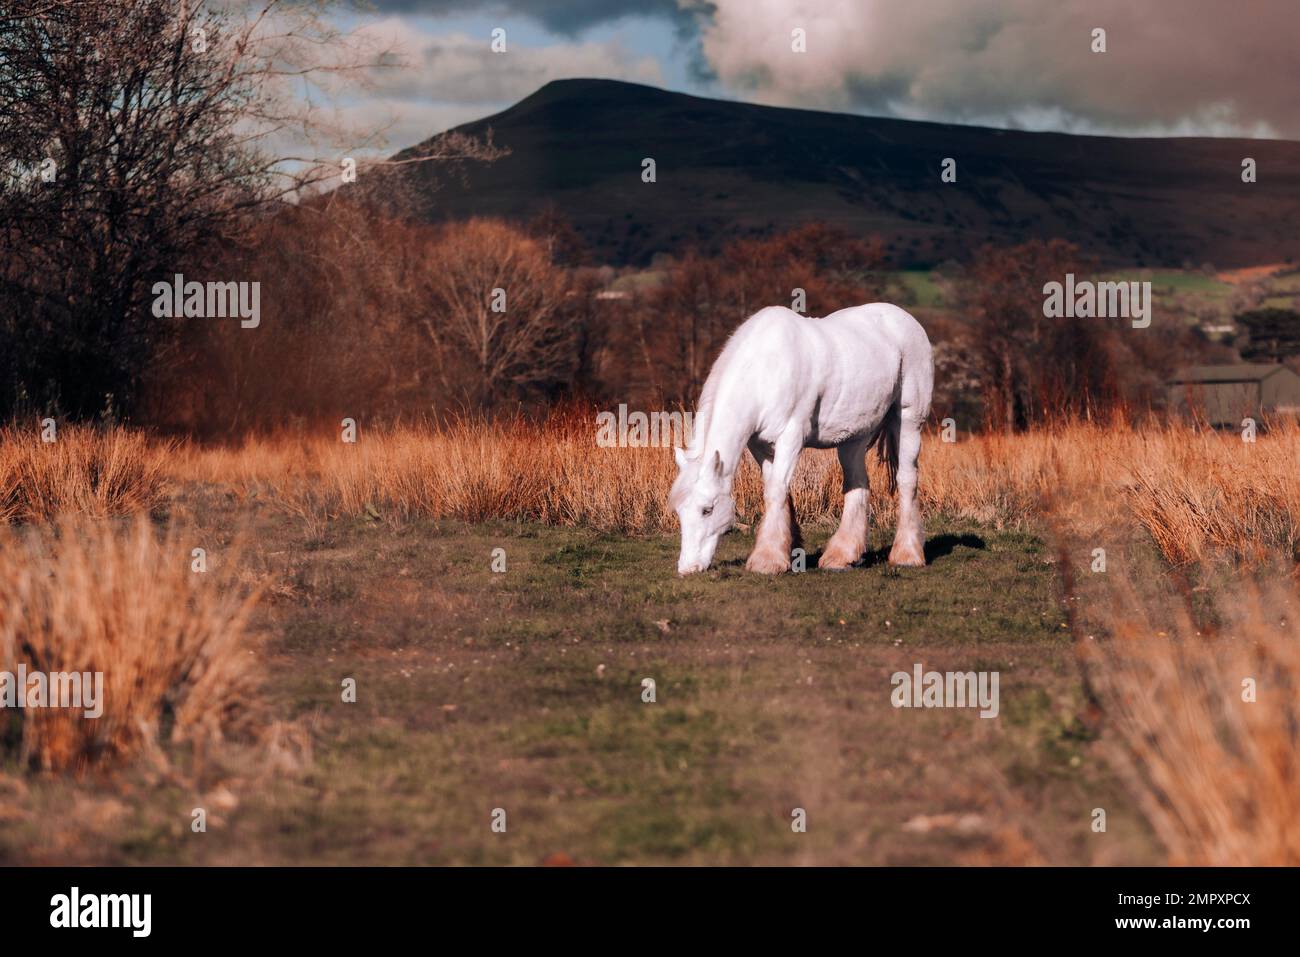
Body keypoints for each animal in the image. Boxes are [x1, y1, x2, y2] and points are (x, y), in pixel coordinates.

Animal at [669, 302, 933, 575]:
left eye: (707, 510)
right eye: (679, 511)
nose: (688, 568)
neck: (765, 370)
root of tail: (904, 318)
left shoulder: (791, 437)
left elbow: (776, 491)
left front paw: (767, 559)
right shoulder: (761, 446)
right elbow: (777, 489)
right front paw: (789, 547)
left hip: (909, 422)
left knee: (907, 480)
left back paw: (907, 553)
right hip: (855, 436)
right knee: (857, 483)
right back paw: (842, 556)